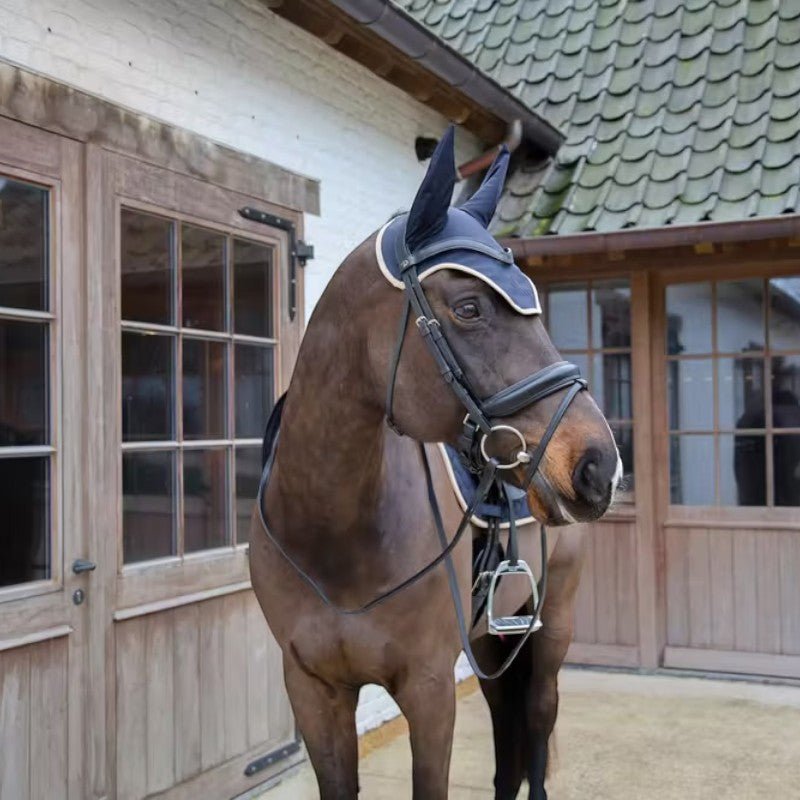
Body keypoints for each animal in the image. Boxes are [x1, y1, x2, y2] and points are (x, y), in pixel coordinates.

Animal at [249, 127, 621, 800]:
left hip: (551, 629)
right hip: (494, 640)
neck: (332, 534)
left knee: (534, 731)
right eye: (469, 307)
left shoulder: (429, 691)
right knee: (506, 744)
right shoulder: (314, 692)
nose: (598, 466)